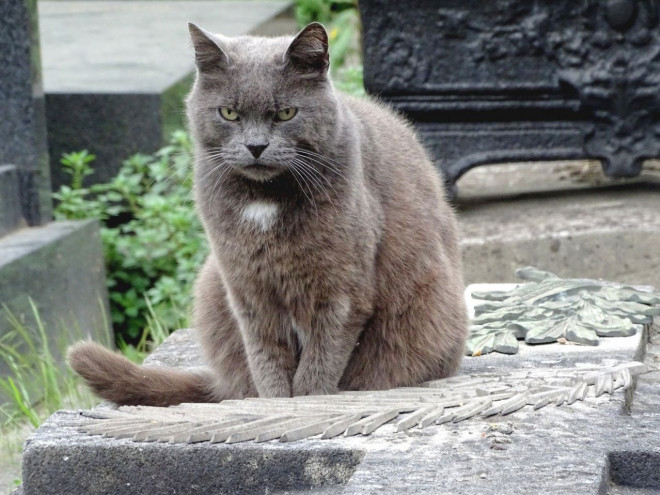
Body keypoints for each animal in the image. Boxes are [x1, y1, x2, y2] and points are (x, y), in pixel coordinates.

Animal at [68, 22, 470, 406]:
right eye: (229, 113)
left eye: (286, 113)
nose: (256, 146)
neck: (264, 202)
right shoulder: (247, 288)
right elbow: (266, 358)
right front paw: (275, 401)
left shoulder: (340, 291)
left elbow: (321, 359)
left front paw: (307, 399)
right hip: (212, 281)